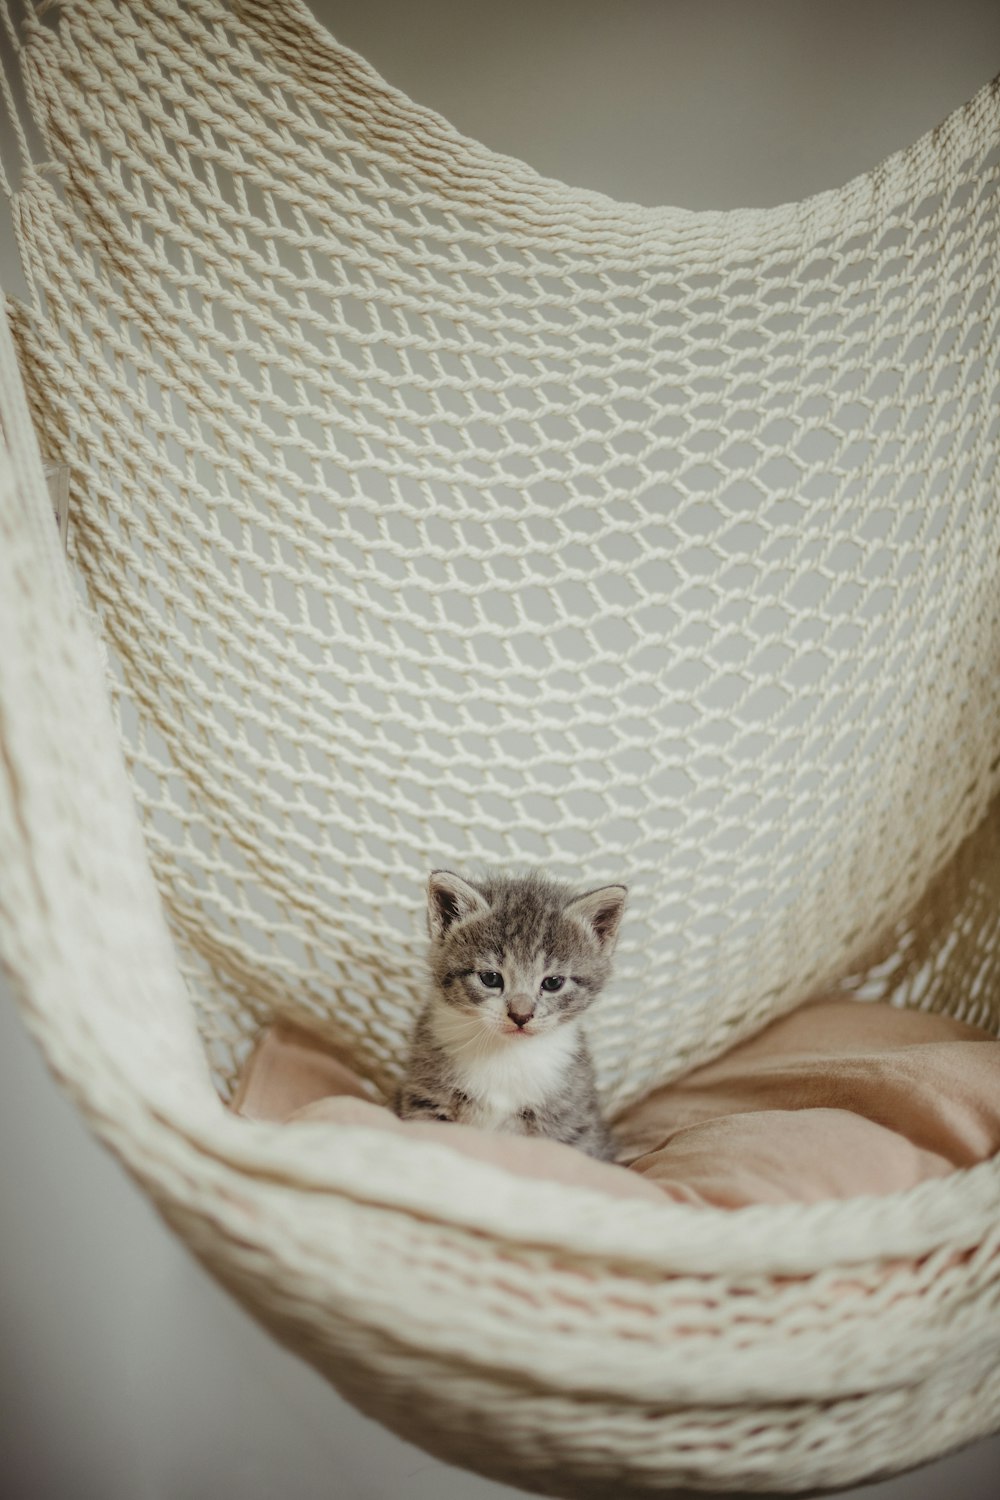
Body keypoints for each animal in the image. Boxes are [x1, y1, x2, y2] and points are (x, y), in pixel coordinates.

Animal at [395, 870, 626, 1158]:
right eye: (491, 978)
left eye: (553, 983)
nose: (521, 1015)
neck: (505, 1054)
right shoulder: (426, 1095)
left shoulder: (570, 1119)